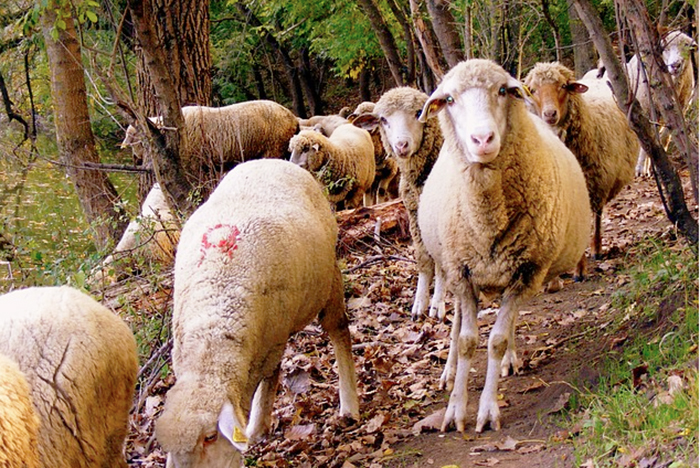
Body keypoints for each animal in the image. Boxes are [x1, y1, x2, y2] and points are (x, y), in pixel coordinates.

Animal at [155, 159, 359, 467]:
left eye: (210, 437)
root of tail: (271, 161)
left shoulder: (270, 342)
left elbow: (266, 380)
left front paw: (255, 428)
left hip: (328, 279)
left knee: (338, 330)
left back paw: (349, 406)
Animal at [352, 87, 446, 321]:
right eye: (383, 119)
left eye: (418, 112)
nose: (401, 145)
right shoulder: (415, 213)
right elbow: (423, 258)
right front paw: (419, 303)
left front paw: (437, 304)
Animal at [417, 59, 591, 433]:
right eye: (449, 99)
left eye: (502, 90)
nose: (482, 139)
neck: (486, 218)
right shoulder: (462, 273)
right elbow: (467, 341)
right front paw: (455, 411)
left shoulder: (524, 272)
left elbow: (495, 340)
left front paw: (487, 410)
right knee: (456, 325)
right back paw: (449, 373)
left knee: (506, 326)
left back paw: (511, 357)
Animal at [524, 61, 639, 273]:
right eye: (533, 90)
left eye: (563, 86)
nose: (550, 114)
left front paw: (579, 270)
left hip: (599, 181)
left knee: (598, 215)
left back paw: (596, 249)